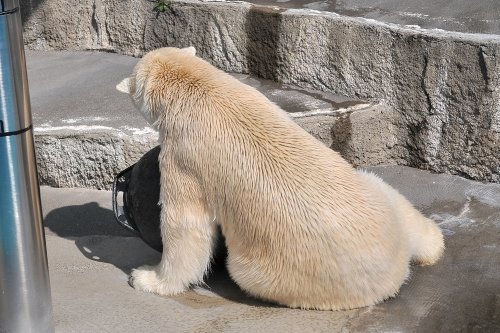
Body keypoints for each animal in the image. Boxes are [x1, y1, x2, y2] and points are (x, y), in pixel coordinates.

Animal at [116, 46, 442, 308]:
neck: (198, 90)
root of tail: (397, 268)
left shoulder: (183, 156)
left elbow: (184, 227)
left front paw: (146, 277)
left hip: (278, 272)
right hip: (379, 196)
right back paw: (433, 245)